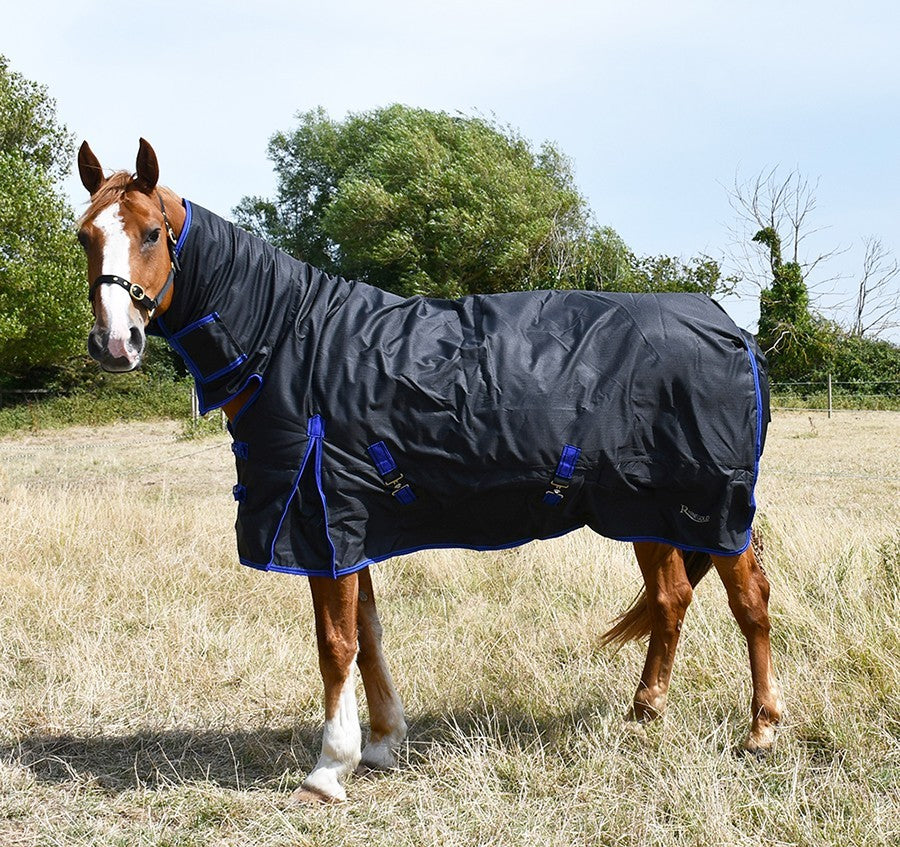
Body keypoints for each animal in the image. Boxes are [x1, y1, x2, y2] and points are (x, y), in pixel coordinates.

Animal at [75, 138, 783, 803]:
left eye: (151, 232)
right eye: (85, 234)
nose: (116, 344)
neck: (295, 342)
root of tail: (734, 330)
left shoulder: (323, 520)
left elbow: (336, 644)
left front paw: (328, 769)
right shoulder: (350, 526)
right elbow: (368, 634)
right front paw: (382, 744)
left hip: (715, 507)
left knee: (750, 600)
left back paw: (761, 730)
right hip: (648, 510)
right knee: (671, 599)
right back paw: (645, 714)